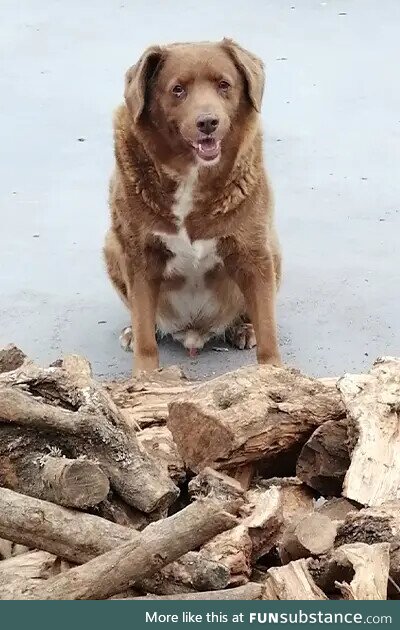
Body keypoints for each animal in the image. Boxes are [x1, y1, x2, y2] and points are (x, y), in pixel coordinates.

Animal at [104, 38, 282, 376]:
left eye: (224, 84)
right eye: (178, 89)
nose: (208, 122)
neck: (191, 174)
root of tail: (193, 332)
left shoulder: (253, 253)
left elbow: (268, 329)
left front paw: (273, 374)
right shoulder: (139, 256)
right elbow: (145, 333)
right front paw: (145, 376)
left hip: (274, 252)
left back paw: (242, 328)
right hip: (111, 245)